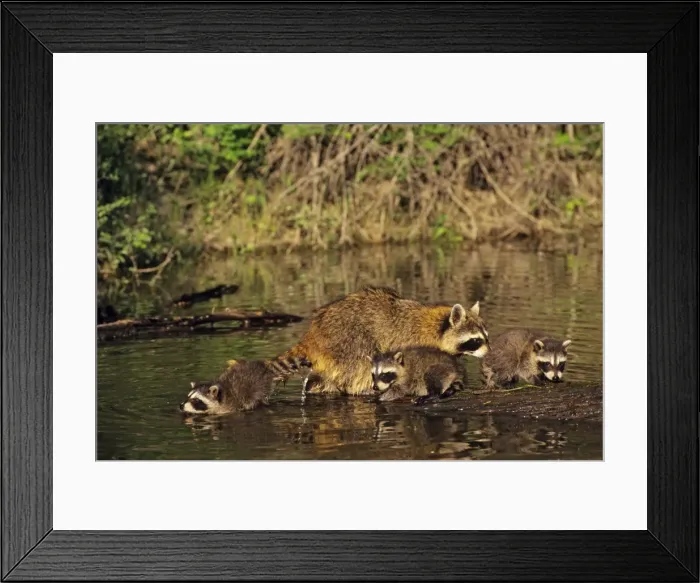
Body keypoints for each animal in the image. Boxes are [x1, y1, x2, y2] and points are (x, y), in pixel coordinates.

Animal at [179, 356, 308, 416]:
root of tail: (264, 369)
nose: (181, 406)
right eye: (188, 396)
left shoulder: (230, 406)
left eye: (196, 400)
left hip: (258, 387)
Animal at [279, 286, 488, 396]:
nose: (489, 352)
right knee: (359, 365)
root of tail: (313, 333)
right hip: (349, 341)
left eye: (486, 336)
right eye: (475, 340)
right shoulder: (413, 342)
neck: (436, 326)